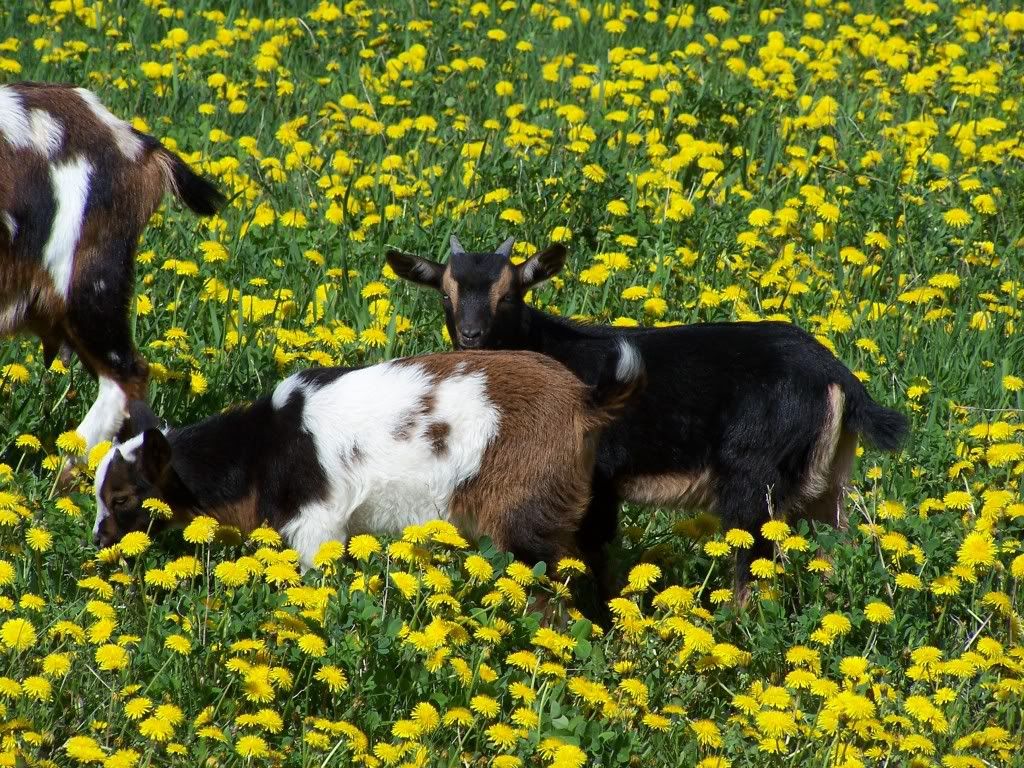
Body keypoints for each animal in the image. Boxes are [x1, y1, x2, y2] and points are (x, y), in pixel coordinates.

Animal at [92, 346, 644, 578]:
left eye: (122, 497)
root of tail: (585, 400)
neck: (262, 450)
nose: (98, 540)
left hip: (525, 508)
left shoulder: (316, 522)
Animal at [386, 236, 910, 599]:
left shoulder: (594, 478)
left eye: (511, 294)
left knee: (753, 567)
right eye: (446, 295)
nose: (471, 336)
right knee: (833, 550)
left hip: (754, 479)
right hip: (826, 481)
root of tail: (837, 374)